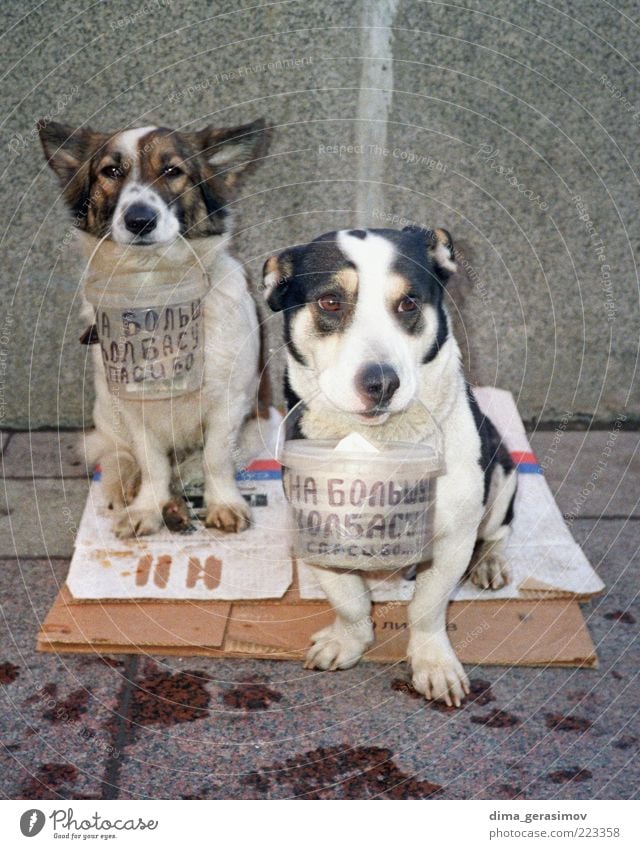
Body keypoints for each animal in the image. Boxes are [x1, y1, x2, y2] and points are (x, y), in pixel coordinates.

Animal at [40, 119, 270, 536]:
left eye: (172, 170)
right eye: (112, 171)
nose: (140, 219)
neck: (155, 290)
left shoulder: (232, 402)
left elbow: (215, 458)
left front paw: (223, 503)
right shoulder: (132, 407)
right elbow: (151, 462)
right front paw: (147, 506)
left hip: (260, 428)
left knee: (195, 464)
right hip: (106, 411)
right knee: (118, 455)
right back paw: (131, 488)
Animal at [262, 227, 516, 708]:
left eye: (409, 303)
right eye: (330, 302)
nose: (381, 383)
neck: (378, 444)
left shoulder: (453, 537)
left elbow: (428, 607)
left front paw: (433, 663)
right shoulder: (317, 525)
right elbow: (348, 599)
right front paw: (348, 641)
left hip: (503, 468)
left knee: (499, 528)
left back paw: (491, 563)